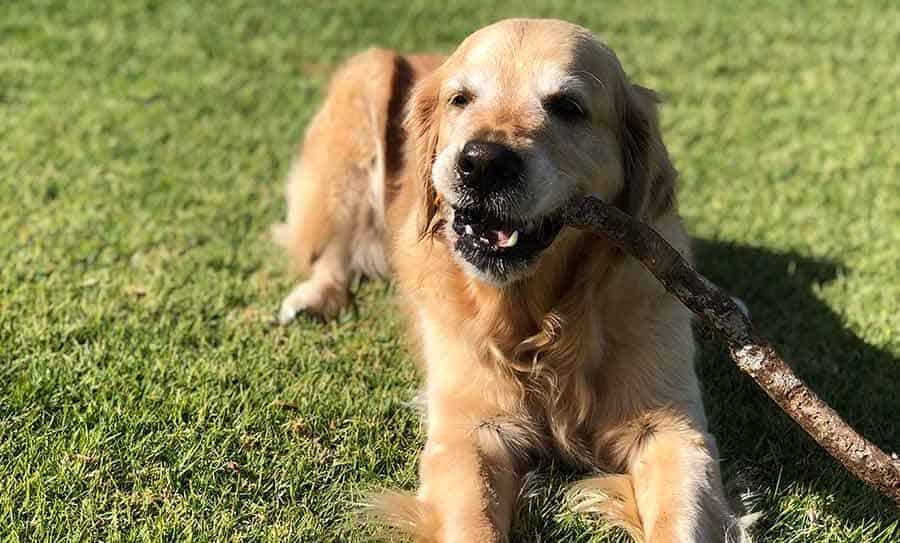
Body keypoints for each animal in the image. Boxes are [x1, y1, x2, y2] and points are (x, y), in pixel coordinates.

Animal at [272, 18, 744, 543]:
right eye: (460, 99)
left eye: (568, 106)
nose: (482, 163)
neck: (543, 320)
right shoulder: (468, 429)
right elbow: (475, 520)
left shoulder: (670, 426)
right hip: (360, 98)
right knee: (332, 246)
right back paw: (315, 297)